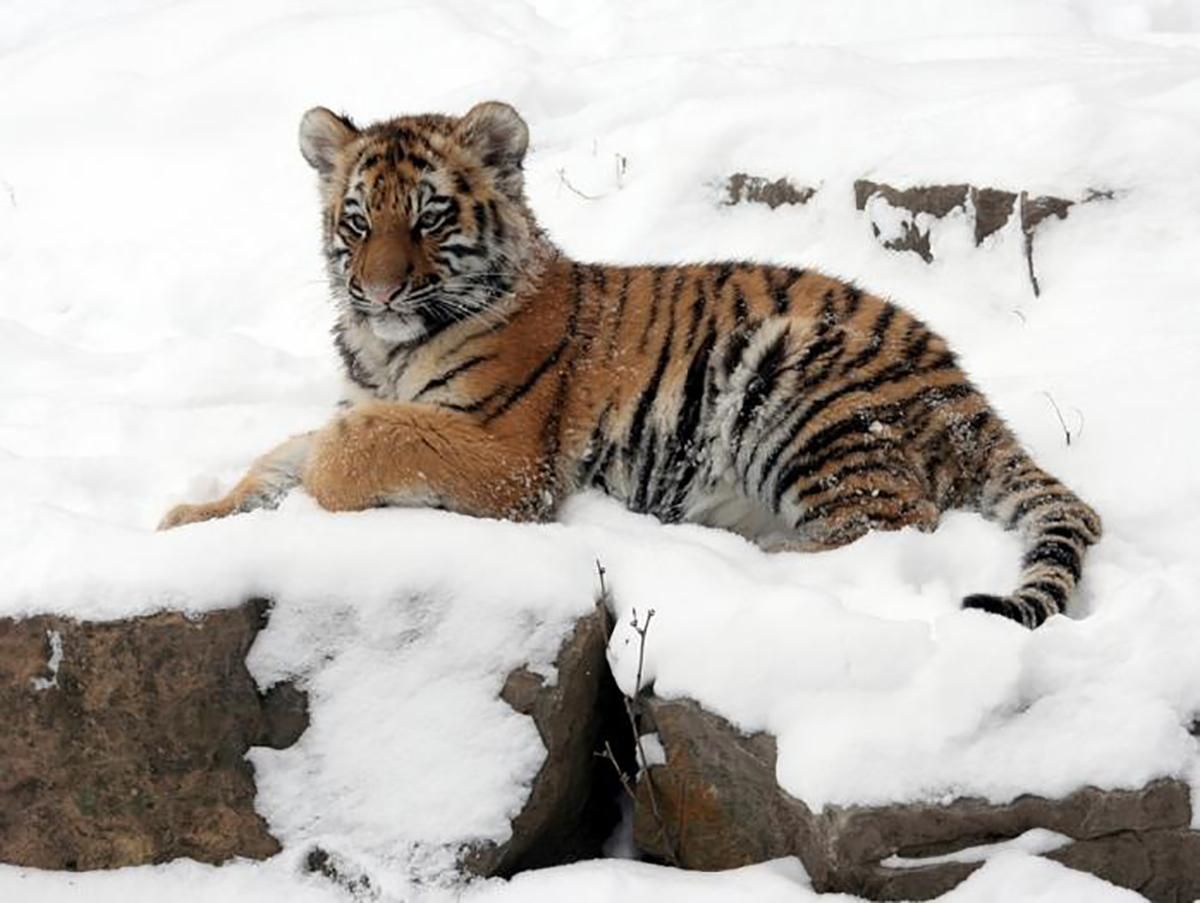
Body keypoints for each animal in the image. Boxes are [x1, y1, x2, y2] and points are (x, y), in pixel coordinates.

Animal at [154, 100, 1099, 629]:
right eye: (357, 220)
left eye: (427, 218)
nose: (378, 291)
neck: (385, 349)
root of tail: (960, 385)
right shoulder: (360, 401)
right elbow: (283, 456)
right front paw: (188, 519)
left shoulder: (508, 457)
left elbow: (352, 449)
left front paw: (315, 496)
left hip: (801, 386)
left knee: (891, 524)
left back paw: (745, 556)